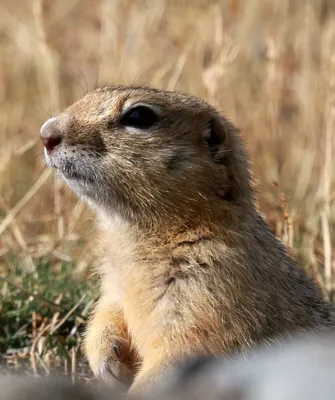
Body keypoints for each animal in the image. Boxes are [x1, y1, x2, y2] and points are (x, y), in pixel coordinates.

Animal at [39, 85, 334, 394]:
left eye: (139, 116)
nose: (46, 133)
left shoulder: (212, 289)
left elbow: (181, 350)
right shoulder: (113, 285)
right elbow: (105, 314)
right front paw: (109, 362)